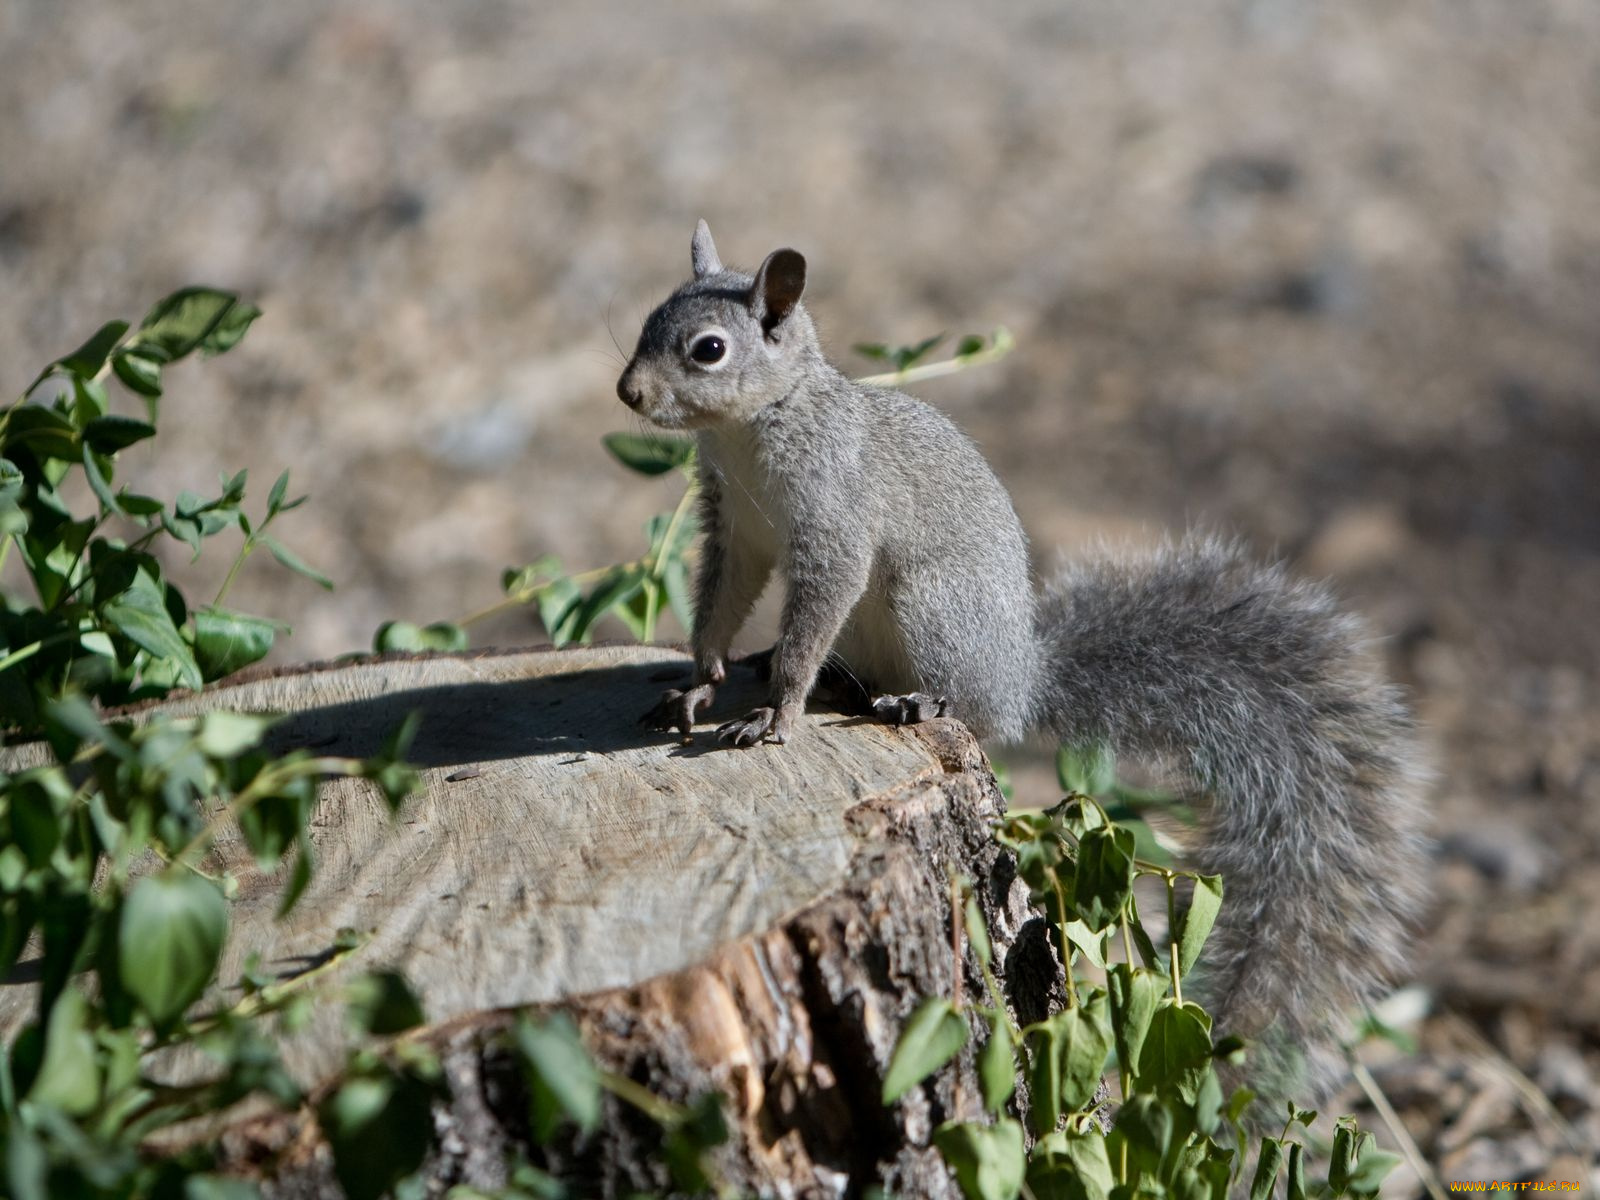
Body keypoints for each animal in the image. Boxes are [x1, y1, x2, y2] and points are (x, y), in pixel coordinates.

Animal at [617, 227, 1433, 1120]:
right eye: (649, 319)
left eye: (708, 349)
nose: (627, 392)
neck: (754, 428)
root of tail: (1022, 675)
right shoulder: (734, 527)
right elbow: (719, 605)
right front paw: (701, 680)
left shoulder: (834, 522)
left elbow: (815, 611)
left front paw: (778, 709)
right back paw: (833, 682)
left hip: (931, 606)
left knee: (972, 710)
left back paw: (912, 698)